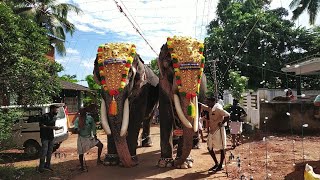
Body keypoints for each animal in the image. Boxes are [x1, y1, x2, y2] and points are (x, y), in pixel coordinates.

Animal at [157, 36, 208, 169]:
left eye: (199, 74)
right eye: (172, 67)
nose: (176, 163)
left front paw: (184, 164)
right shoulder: (162, 82)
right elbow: (165, 113)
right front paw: (165, 163)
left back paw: (195, 145)